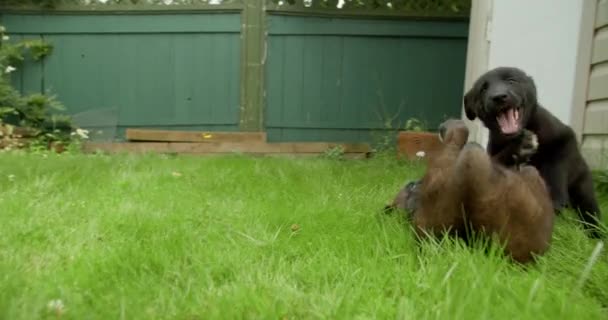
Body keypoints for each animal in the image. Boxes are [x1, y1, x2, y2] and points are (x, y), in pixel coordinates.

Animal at [466, 67, 604, 238]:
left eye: (511, 80)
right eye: (483, 89)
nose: (498, 97)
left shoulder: (564, 138)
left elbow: (555, 164)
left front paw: (555, 199)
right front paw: (518, 148)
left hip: (583, 188)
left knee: (590, 212)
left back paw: (596, 235)